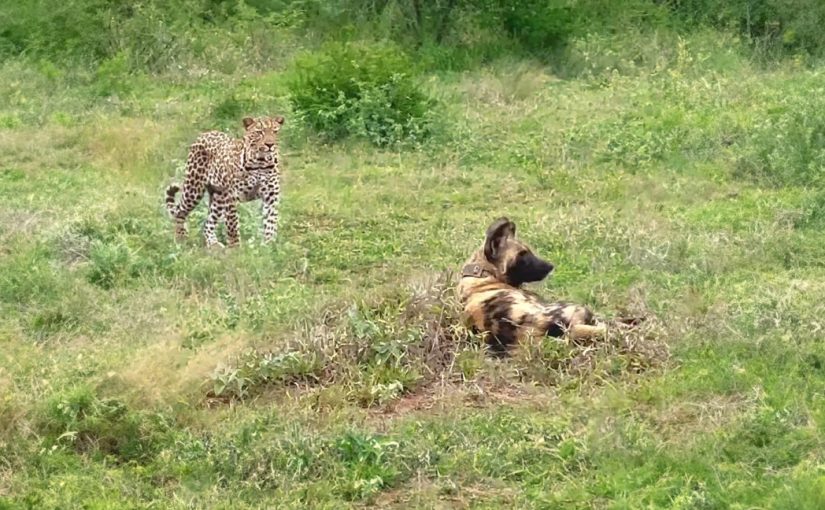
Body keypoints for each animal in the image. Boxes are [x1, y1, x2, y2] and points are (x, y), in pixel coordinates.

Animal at [165, 115, 284, 247]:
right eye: (259, 132)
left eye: (275, 132)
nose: (270, 144)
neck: (260, 163)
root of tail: (205, 133)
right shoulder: (231, 196)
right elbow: (233, 224)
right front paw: (235, 248)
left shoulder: (271, 196)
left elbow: (271, 222)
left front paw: (269, 245)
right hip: (194, 189)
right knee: (180, 212)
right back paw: (181, 239)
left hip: (219, 196)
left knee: (208, 223)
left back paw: (214, 245)